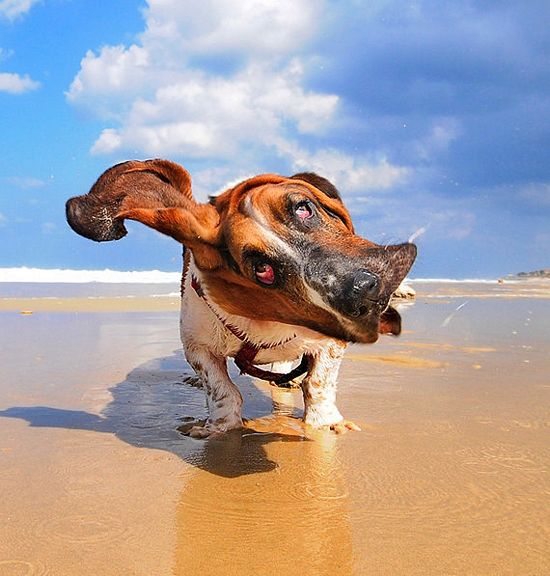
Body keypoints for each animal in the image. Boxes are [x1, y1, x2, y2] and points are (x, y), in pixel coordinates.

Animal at [66, 158, 418, 436]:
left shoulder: (331, 344)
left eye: (304, 208)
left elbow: (319, 383)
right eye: (262, 269)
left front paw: (327, 423)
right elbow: (222, 389)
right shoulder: (197, 347)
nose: (364, 289)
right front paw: (219, 427)